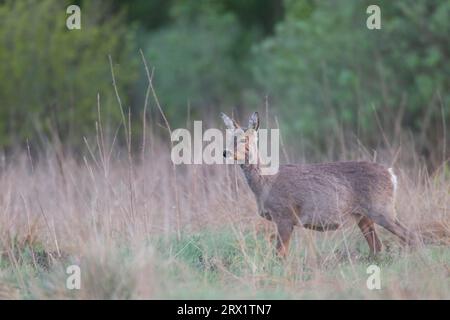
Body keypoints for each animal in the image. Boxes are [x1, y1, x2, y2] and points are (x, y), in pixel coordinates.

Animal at [221, 112, 414, 258]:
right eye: (229, 138)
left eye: (245, 139)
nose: (225, 152)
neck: (265, 184)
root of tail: (391, 175)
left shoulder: (284, 215)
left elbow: (280, 255)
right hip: (364, 216)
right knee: (377, 246)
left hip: (382, 209)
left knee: (409, 235)